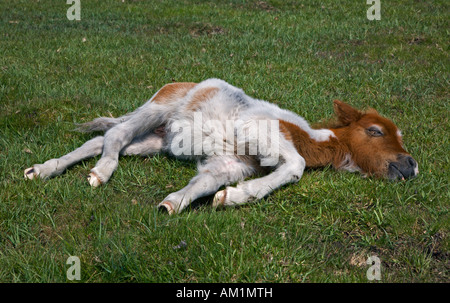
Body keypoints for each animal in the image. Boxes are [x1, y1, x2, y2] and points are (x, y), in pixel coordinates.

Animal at [24, 79, 418, 215]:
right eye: (375, 131)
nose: (412, 164)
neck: (303, 135)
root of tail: (178, 83)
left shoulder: (231, 164)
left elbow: (203, 183)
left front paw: (176, 204)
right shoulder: (257, 131)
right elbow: (295, 167)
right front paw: (239, 196)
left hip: (157, 140)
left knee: (103, 140)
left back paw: (44, 170)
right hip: (156, 110)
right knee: (115, 135)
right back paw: (100, 174)